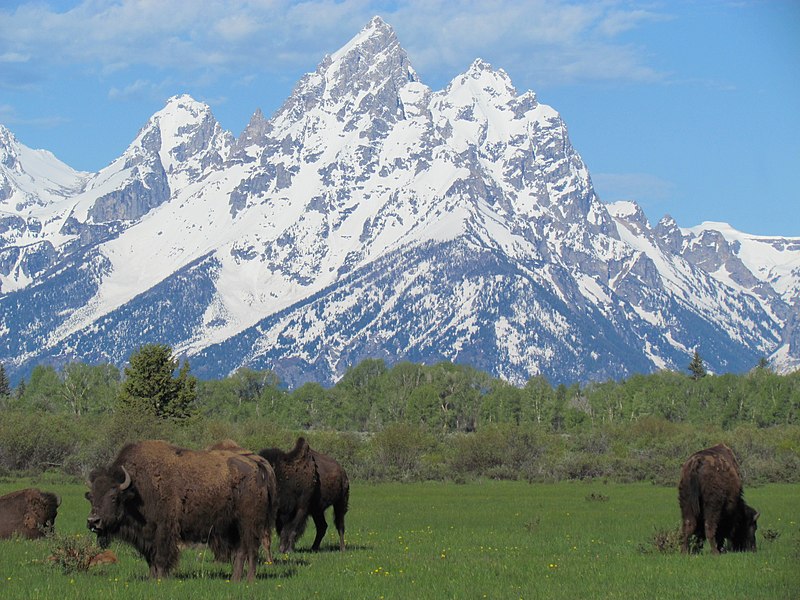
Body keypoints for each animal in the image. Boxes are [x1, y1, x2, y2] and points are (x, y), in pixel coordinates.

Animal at [86, 438, 276, 580]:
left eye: (113, 497)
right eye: (92, 497)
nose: (93, 521)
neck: (137, 487)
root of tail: (256, 466)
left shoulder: (164, 530)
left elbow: (160, 558)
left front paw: (161, 579)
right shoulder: (147, 535)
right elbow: (150, 559)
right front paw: (152, 579)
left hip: (249, 524)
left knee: (251, 550)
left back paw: (249, 580)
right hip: (233, 526)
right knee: (240, 551)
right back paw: (235, 579)